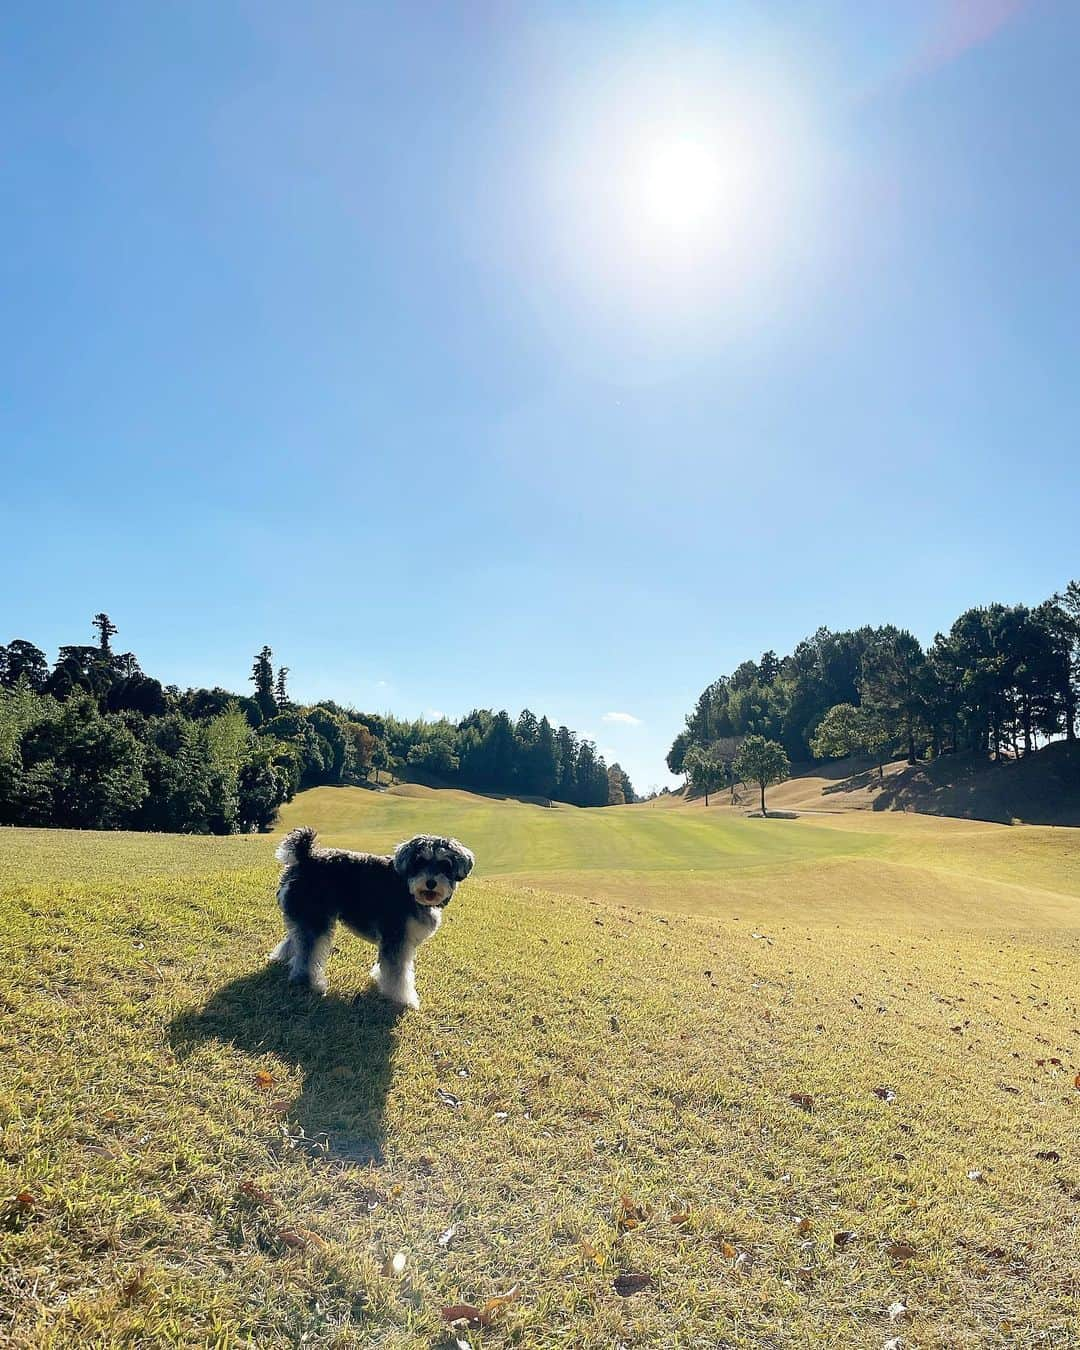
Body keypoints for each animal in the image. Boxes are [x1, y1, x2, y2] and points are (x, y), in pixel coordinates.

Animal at [267, 826, 472, 1009]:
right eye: (420, 861)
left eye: (445, 864)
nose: (431, 883)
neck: (407, 886)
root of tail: (304, 857)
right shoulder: (396, 938)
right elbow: (398, 974)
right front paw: (403, 999)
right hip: (315, 920)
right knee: (308, 954)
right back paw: (309, 982)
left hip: (307, 917)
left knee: (296, 940)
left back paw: (282, 959)